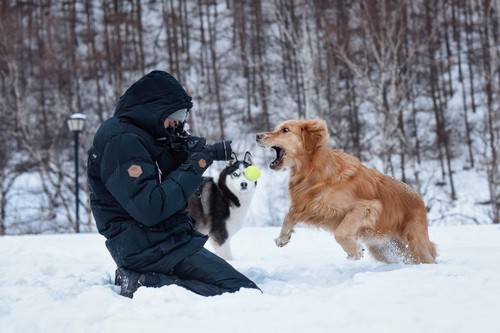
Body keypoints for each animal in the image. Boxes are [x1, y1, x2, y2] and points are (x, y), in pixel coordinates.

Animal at [258, 118, 438, 264]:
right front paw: (282, 238)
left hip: (413, 241)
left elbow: (341, 233)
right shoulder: (310, 206)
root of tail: (419, 197)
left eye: (285, 130)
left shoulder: (366, 207)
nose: (257, 136)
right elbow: (289, 216)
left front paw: (354, 251)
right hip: (383, 247)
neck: (314, 170)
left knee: (428, 256)